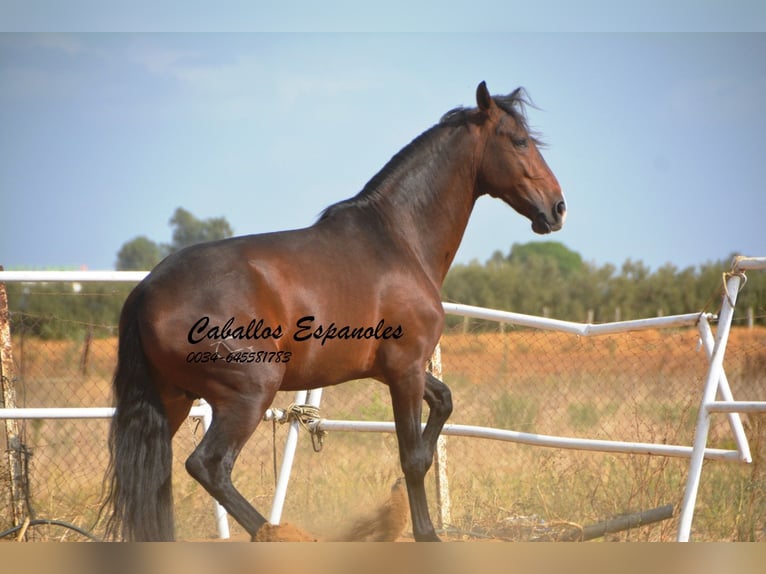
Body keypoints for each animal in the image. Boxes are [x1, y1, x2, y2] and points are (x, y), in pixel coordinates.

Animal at [103, 82, 564, 544]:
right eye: (519, 141)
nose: (557, 208)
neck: (398, 239)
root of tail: (146, 289)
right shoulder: (405, 369)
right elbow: (413, 456)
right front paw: (426, 533)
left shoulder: (393, 369)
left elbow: (443, 405)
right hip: (248, 393)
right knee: (208, 466)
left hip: (174, 400)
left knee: (157, 478)